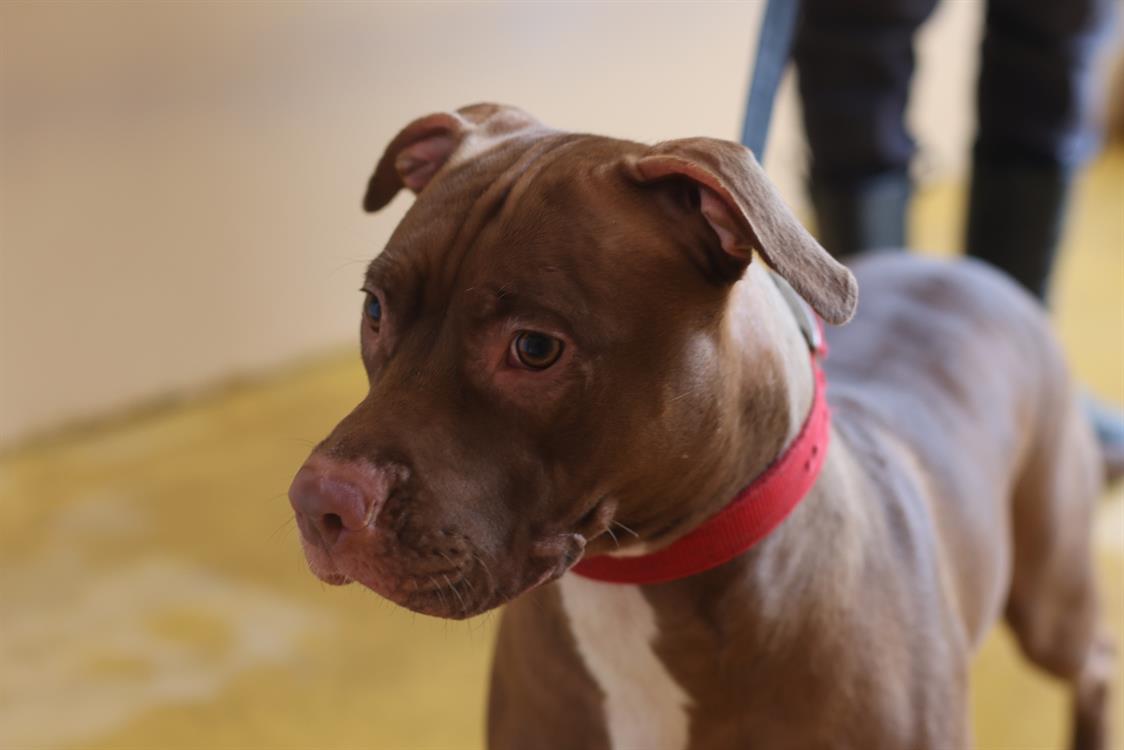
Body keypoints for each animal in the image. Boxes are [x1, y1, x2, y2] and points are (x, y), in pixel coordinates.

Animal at [288, 103, 1114, 749]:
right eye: (373, 309)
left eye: (535, 348)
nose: (318, 503)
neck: (634, 585)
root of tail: (972, 270)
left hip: (1053, 593)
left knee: (1097, 660)